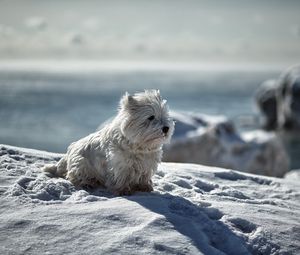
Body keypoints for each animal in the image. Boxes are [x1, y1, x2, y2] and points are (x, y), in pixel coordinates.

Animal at [42, 89, 173, 195]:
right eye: (151, 117)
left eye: (165, 116)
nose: (166, 128)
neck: (140, 145)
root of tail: (68, 153)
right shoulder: (121, 163)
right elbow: (121, 177)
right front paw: (123, 191)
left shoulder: (147, 164)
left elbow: (144, 177)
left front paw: (145, 188)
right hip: (81, 164)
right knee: (73, 176)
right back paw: (88, 183)